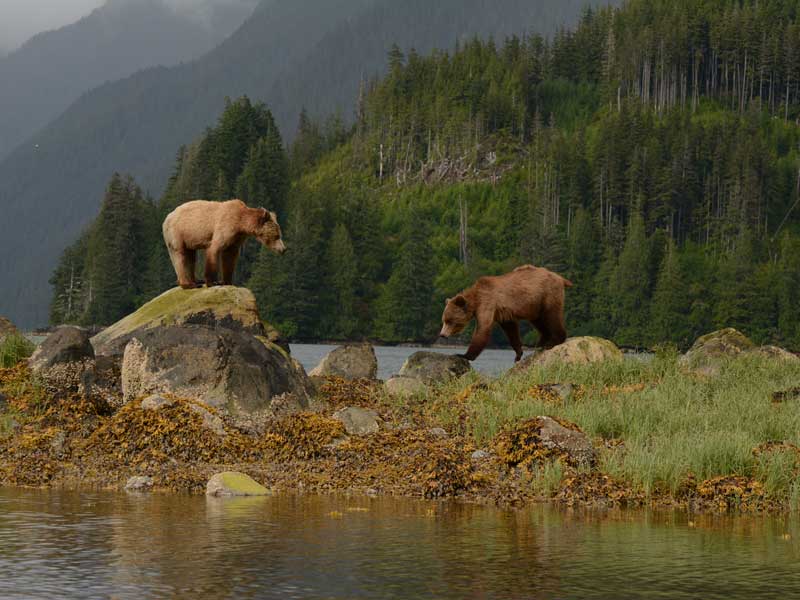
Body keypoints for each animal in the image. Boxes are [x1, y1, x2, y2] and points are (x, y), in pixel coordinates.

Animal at [438, 266, 576, 360]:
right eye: (443, 320)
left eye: (449, 321)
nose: (442, 334)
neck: (475, 299)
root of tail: (560, 277)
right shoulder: (503, 313)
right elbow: (511, 329)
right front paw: (518, 354)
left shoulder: (487, 303)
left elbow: (483, 329)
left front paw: (463, 355)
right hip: (535, 304)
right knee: (539, 321)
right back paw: (541, 343)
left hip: (547, 295)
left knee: (552, 316)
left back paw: (554, 341)